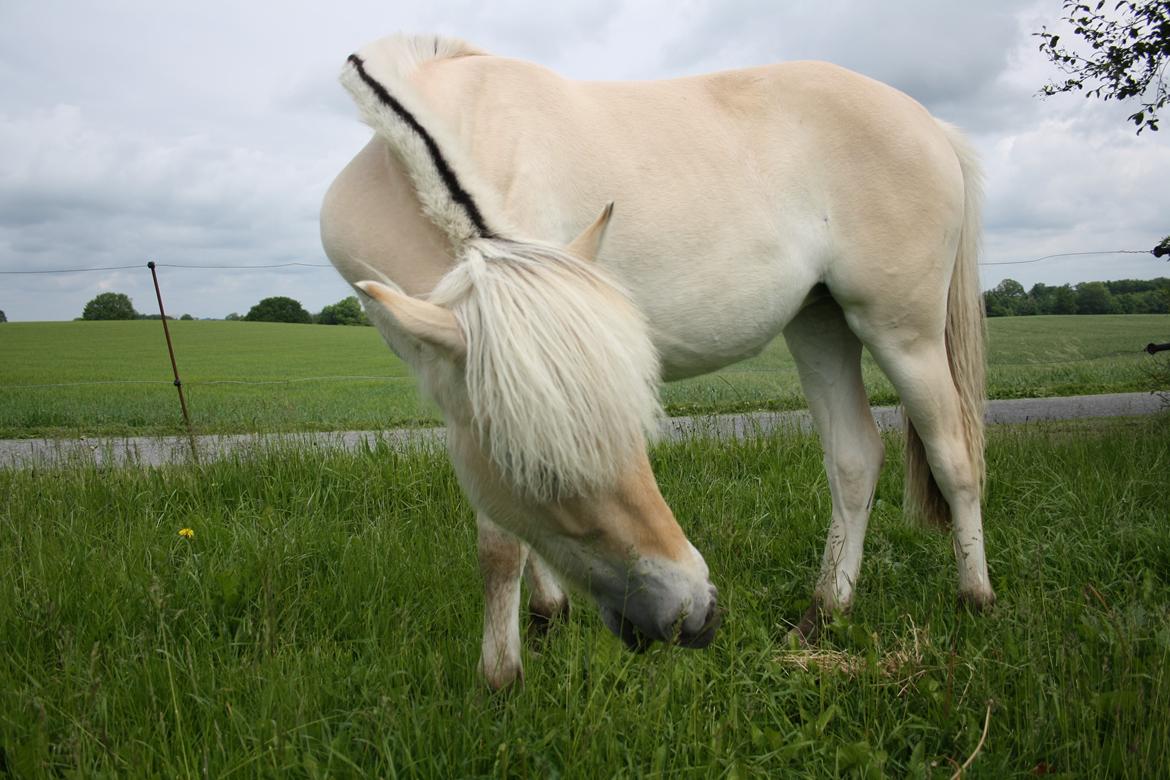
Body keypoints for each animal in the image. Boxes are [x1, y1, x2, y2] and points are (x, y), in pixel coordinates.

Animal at [322, 35, 996, 687]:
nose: (692, 617)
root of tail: (930, 124)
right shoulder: (470, 391)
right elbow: (516, 526)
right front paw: (546, 616)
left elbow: (500, 547)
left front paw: (502, 677)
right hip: (820, 324)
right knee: (854, 459)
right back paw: (824, 613)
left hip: (902, 333)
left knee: (955, 455)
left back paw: (975, 599)